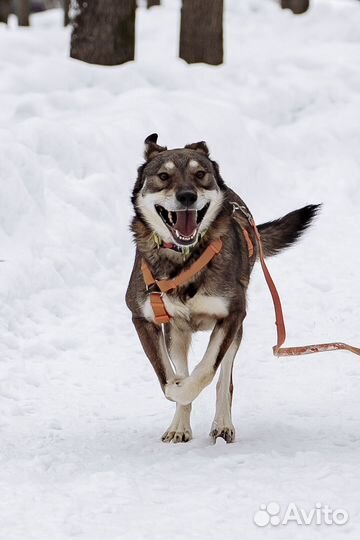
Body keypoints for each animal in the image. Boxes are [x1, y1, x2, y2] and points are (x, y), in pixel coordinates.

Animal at [125, 134, 320, 442]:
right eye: (163, 176)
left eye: (200, 174)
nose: (187, 196)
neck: (185, 257)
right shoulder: (143, 318)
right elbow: (167, 378)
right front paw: (177, 391)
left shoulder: (232, 315)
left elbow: (205, 372)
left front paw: (185, 388)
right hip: (176, 333)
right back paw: (179, 426)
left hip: (235, 330)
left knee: (223, 380)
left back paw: (222, 423)